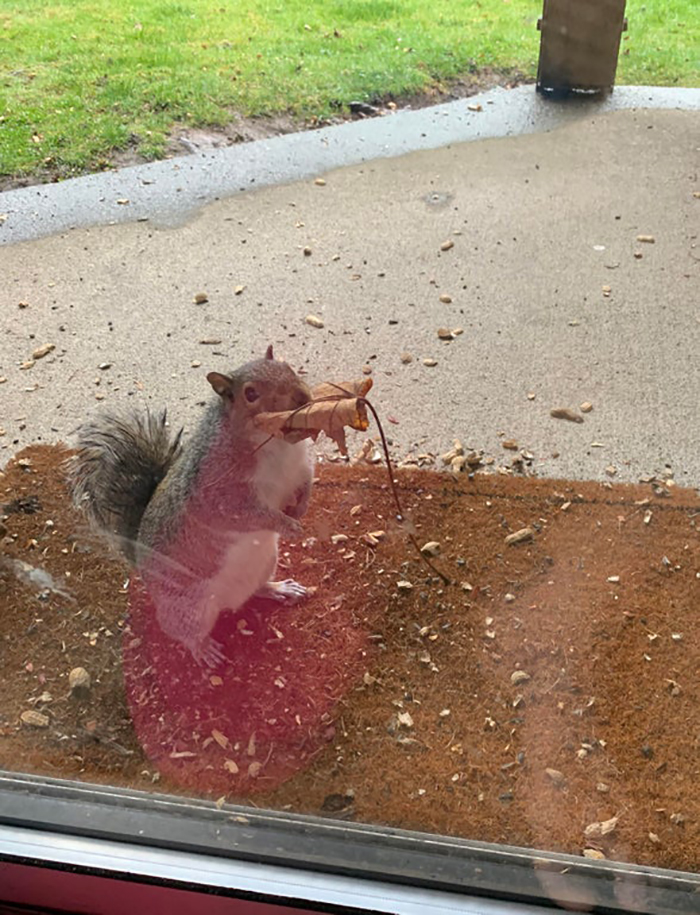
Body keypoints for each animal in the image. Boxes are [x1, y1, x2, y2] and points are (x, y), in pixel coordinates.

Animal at [68, 348, 314, 668]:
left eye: (288, 367)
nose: (303, 396)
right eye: (250, 394)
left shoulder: (299, 467)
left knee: (256, 589)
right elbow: (247, 514)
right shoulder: (219, 492)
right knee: (180, 630)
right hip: (190, 607)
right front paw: (287, 525)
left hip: (265, 563)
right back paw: (203, 648)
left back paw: (278, 589)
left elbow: (307, 483)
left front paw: (300, 509)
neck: (276, 444)